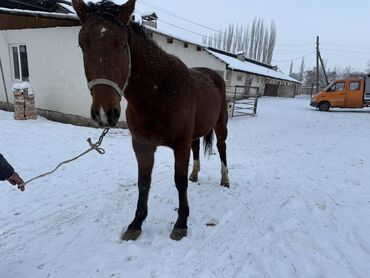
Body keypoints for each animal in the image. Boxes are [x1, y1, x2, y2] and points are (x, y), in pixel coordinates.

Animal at [72, 0, 230, 240]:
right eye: (82, 44)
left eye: (123, 45)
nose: (104, 112)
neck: (160, 93)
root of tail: (214, 75)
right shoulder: (142, 146)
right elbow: (143, 183)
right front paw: (136, 224)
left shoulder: (180, 146)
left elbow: (179, 182)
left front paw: (181, 223)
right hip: (194, 135)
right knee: (197, 149)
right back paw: (195, 174)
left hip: (221, 126)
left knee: (222, 148)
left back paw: (225, 179)